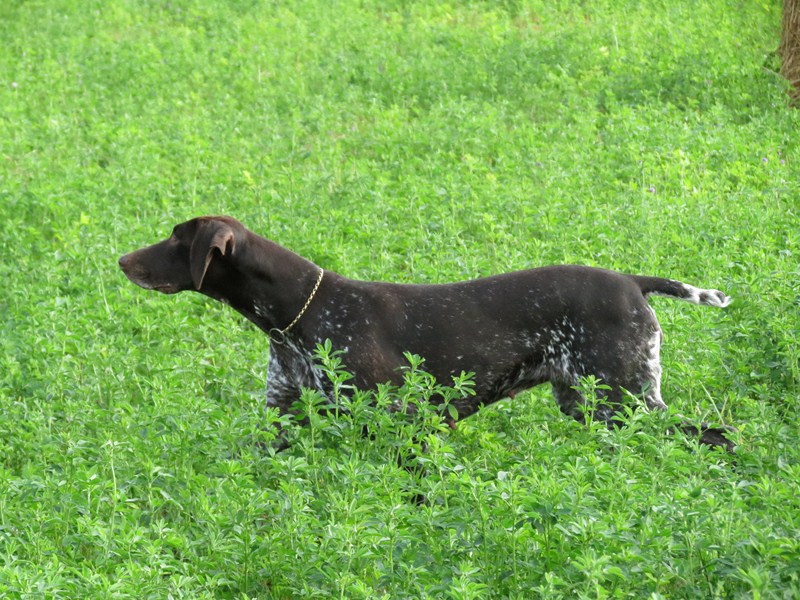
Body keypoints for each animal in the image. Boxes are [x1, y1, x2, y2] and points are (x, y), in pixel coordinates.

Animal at [119, 216, 736, 450]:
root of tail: (633, 283)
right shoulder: (283, 418)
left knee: (714, 436)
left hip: (625, 401)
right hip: (591, 406)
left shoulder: (404, 424)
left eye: (176, 240)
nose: (122, 259)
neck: (296, 315)